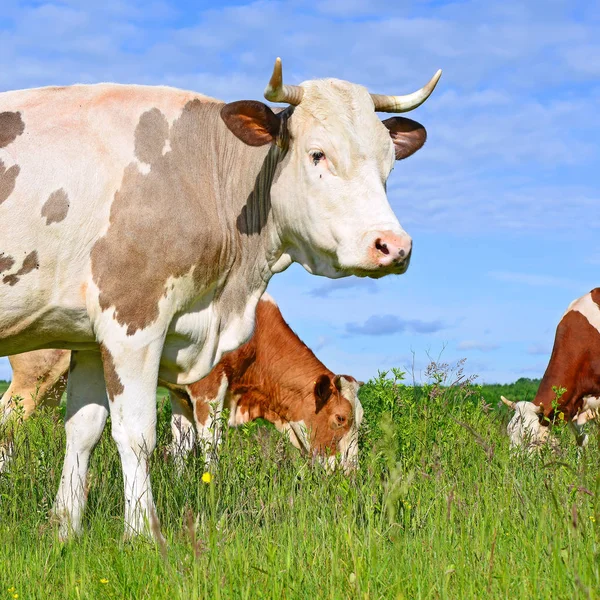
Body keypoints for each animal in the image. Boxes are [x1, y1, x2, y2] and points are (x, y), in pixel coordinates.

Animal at [0, 296, 360, 474]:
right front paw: (212, 489)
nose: (351, 472)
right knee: (8, 420)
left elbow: (181, 446)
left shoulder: (179, 393)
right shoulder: (208, 387)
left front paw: (182, 484)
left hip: (53, 384)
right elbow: (211, 444)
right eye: (340, 418)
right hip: (38, 372)